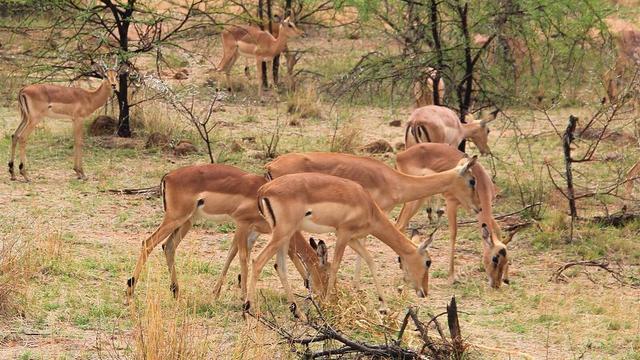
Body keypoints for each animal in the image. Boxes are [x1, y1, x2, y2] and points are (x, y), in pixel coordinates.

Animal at [124, 165, 328, 302]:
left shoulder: (256, 231)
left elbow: (232, 254)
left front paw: (216, 292)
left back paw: (175, 291)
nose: (324, 296)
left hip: (186, 221)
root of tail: (168, 176)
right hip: (175, 218)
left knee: (168, 246)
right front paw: (243, 297)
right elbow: (243, 257)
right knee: (148, 243)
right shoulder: (242, 224)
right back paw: (130, 290)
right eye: (325, 272)